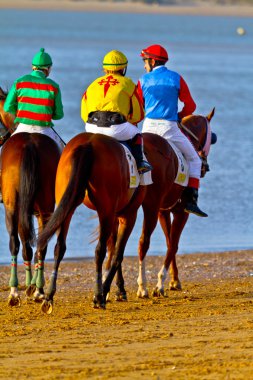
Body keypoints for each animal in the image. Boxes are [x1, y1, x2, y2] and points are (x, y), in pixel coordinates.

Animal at [0, 88, 61, 306]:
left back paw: (16, 291)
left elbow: (25, 244)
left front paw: (29, 285)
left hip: (14, 206)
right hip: (42, 207)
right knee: (36, 244)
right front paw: (32, 286)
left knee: (16, 243)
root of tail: (29, 145)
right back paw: (37, 291)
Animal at [36, 132, 146, 314]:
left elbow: (113, 248)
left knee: (60, 247)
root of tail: (88, 144)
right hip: (105, 210)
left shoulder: (115, 215)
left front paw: (118, 289)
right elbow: (117, 253)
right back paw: (98, 296)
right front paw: (108, 290)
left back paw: (49, 296)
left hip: (68, 202)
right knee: (99, 251)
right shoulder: (128, 215)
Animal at [104, 109, 215, 300]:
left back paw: (116, 289)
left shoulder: (164, 211)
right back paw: (142, 287)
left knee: (114, 243)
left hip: (123, 207)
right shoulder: (180, 212)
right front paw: (161, 283)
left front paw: (174, 280)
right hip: (150, 206)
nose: (204, 167)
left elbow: (169, 241)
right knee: (142, 242)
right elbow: (173, 244)